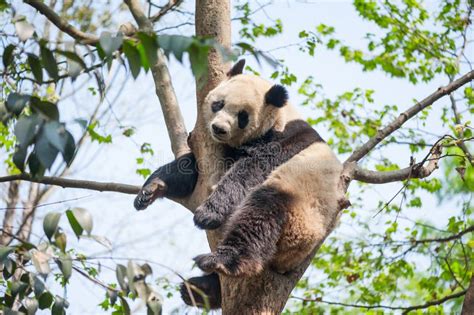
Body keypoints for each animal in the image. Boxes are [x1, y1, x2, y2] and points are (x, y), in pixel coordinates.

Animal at [135, 60, 342, 310]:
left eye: (242, 116)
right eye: (218, 104)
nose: (219, 129)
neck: (281, 117)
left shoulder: (283, 142)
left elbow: (247, 172)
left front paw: (208, 213)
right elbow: (189, 171)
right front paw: (151, 189)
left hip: (299, 212)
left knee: (259, 215)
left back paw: (221, 262)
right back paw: (200, 290)